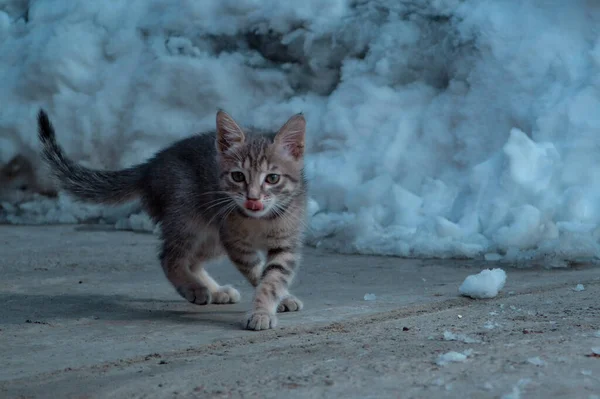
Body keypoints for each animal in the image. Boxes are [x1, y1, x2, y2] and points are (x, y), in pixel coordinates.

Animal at [36, 109, 310, 332]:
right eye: (238, 176)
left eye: (272, 178)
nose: (253, 199)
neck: (259, 220)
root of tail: (151, 166)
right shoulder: (236, 242)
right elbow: (259, 272)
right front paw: (263, 311)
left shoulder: (284, 243)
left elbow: (272, 277)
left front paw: (275, 301)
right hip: (187, 218)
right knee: (169, 257)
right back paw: (193, 288)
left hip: (212, 236)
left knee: (193, 260)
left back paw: (214, 290)